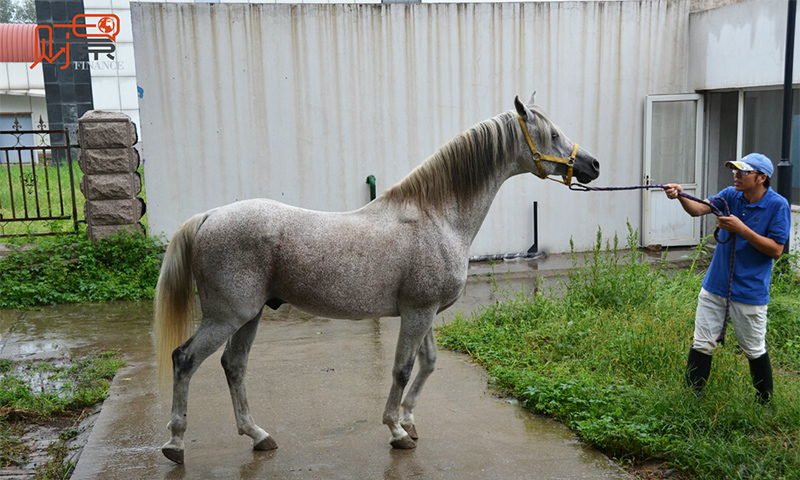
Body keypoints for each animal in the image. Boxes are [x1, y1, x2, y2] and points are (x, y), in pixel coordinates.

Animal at [155, 92, 600, 464]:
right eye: (553, 134)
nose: (592, 165)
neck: (437, 217)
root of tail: (210, 216)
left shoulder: (425, 312)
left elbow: (428, 364)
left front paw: (409, 420)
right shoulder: (417, 312)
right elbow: (402, 369)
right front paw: (396, 431)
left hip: (250, 316)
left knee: (234, 365)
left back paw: (258, 435)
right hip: (227, 316)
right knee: (185, 359)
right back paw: (175, 443)